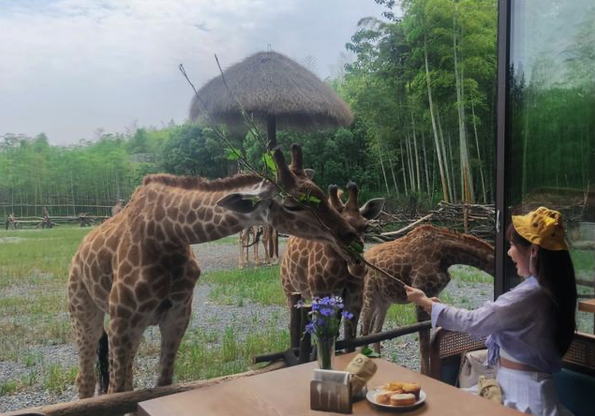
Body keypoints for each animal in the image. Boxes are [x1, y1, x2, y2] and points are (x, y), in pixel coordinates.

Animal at [67, 145, 360, 398]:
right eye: (292, 205)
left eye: (320, 192)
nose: (350, 237)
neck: (167, 233)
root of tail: (78, 253)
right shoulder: (122, 319)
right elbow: (116, 391)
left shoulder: (177, 316)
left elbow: (162, 383)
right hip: (84, 310)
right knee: (87, 378)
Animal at [280, 182, 384, 360]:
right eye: (332, 228)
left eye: (365, 226)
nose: (358, 267)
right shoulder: (321, 295)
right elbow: (320, 337)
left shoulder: (354, 298)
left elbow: (349, 339)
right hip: (290, 290)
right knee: (293, 324)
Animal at [360, 226, 496, 376]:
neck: (446, 256)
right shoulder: (421, 292)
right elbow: (424, 347)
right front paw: (425, 375)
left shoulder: (432, 296)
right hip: (369, 295)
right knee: (364, 331)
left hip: (384, 301)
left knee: (375, 331)